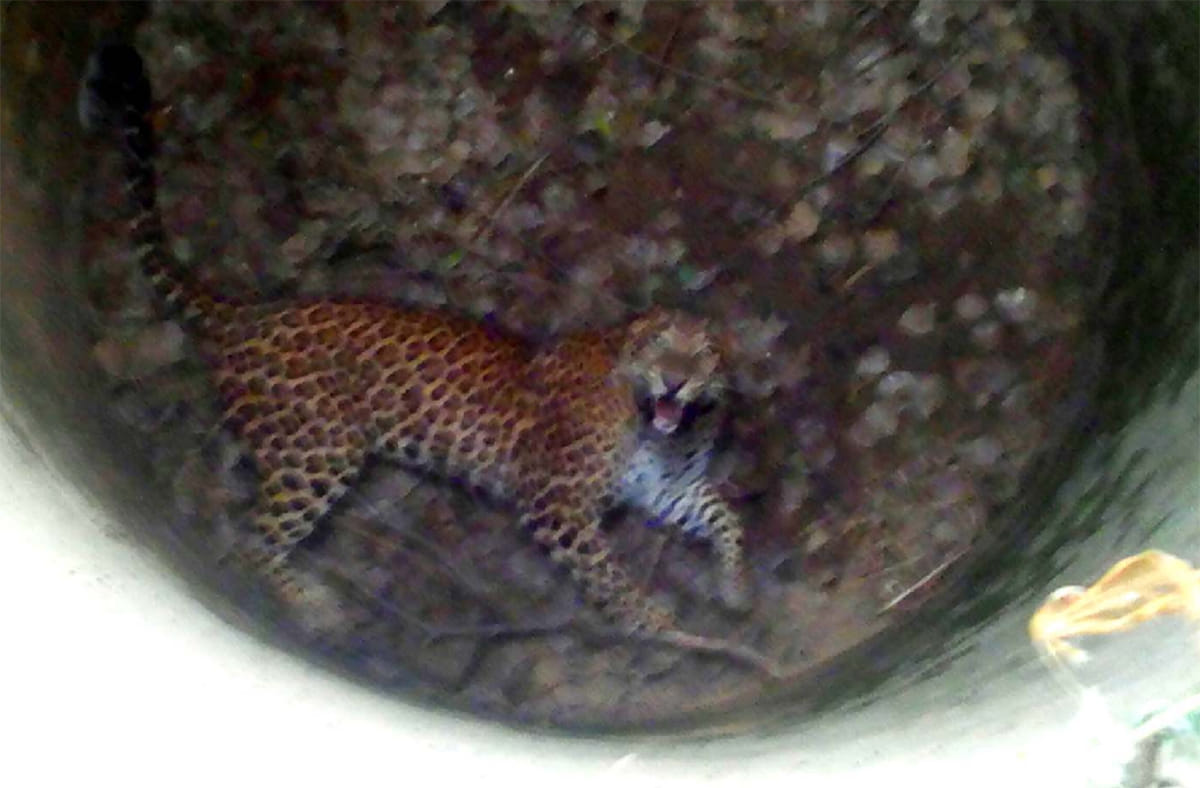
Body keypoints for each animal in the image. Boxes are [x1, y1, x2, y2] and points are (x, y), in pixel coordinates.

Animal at [80, 43, 750, 635]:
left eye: (703, 355)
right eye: (657, 344)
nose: (675, 379)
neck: (660, 432)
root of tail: (249, 313)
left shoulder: (669, 492)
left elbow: (726, 519)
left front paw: (732, 585)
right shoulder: (555, 502)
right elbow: (609, 576)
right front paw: (654, 624)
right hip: (316, 452)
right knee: (253, 544)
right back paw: (312, 607)